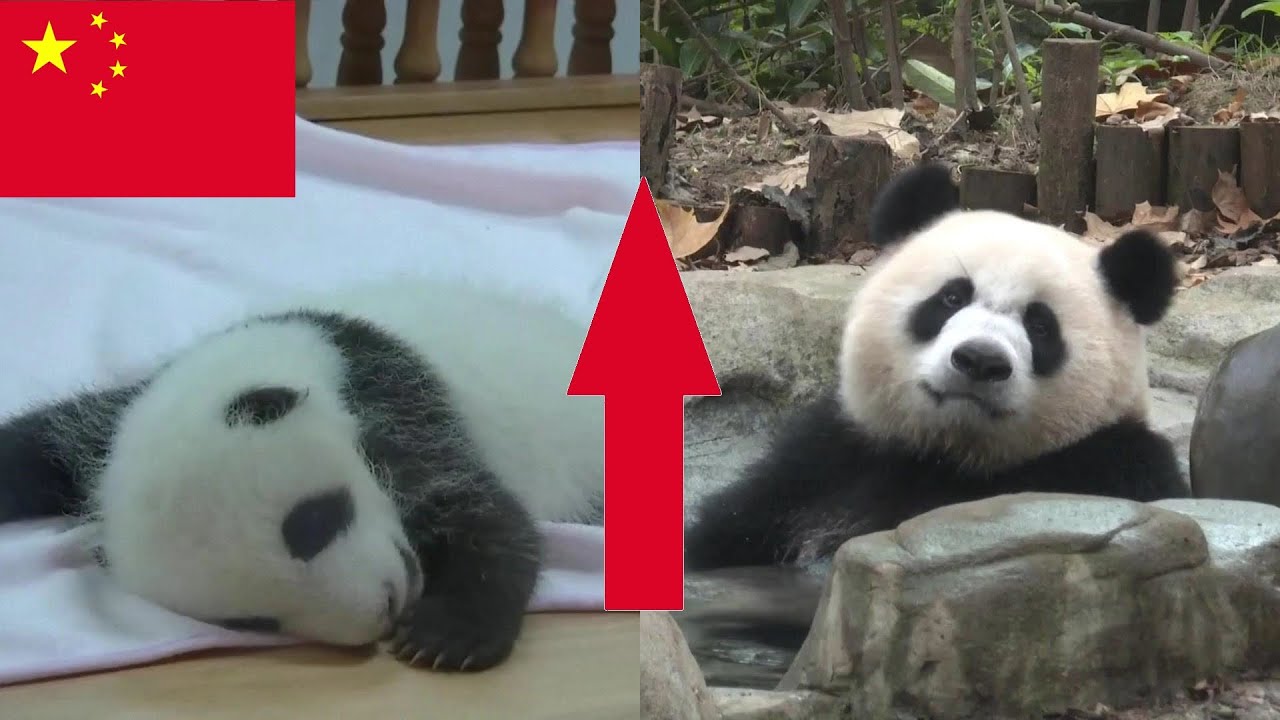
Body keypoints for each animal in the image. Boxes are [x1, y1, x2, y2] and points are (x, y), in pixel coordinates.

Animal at [0, 275, 603, 672]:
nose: (384, 609)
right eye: (253, 623)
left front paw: (446, 634)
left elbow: (482, 512)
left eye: (314, 521)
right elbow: (46, 437)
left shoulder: (392, 397)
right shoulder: (116, 423)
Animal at [684, 163, 1191, 571]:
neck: (951, 454)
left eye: (1041, 326)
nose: (981, 360)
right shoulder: (823, 463)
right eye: (951, 297)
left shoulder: (1111, 468)